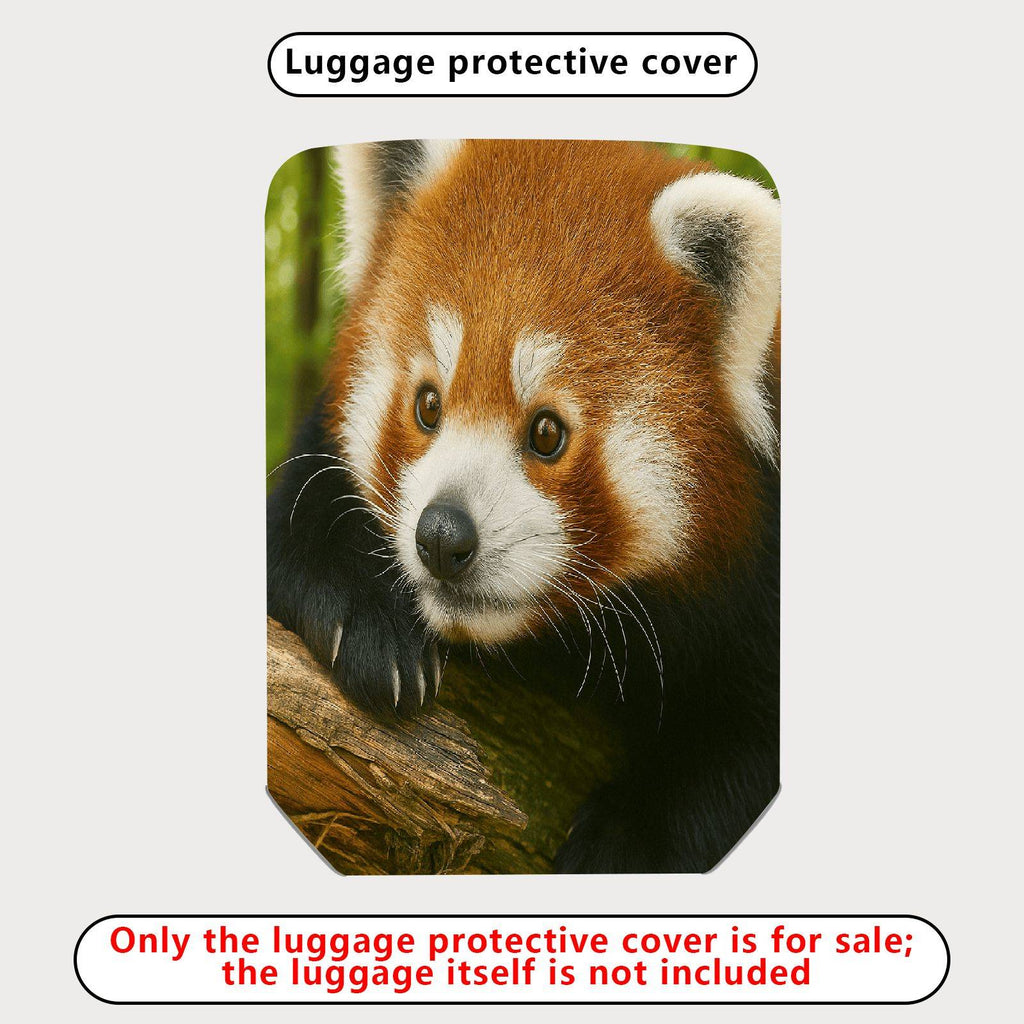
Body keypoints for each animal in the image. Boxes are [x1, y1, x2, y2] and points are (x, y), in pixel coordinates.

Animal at [267, 139, 780, 874]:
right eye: (428, 406)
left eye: (546, 432)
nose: (442, 536)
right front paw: (366, 621)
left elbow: (743, 747)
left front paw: (621, 843)